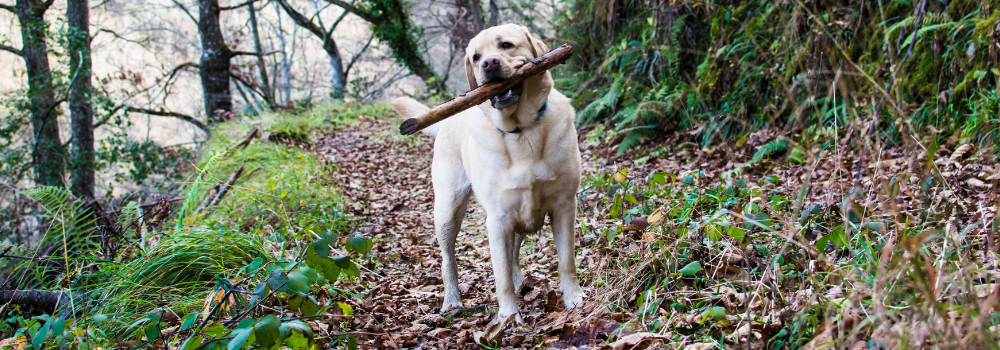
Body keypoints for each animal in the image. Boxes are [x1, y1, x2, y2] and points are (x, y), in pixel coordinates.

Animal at [386, 23, 584, 322]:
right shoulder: (498, 218)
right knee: (448, 259)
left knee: (514, 253)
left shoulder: (564, 205)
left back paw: (520, 282)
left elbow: (566, 260)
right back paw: (452, 301)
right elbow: (500, 276)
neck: (520, 131)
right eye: (476, 57)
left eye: (506, 45)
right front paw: (509, 317)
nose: (489, 64)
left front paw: (573, 298)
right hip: (448, 210)